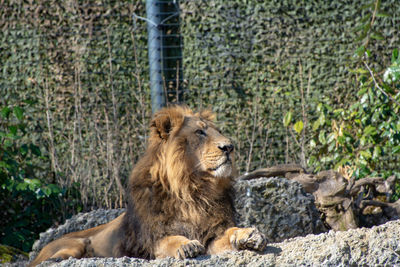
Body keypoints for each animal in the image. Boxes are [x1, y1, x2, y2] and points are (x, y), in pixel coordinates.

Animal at [29, 105, 268, 266]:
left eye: (217, 131)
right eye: (200, 132)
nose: (229, 147)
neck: (193, 190)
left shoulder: (212, 235)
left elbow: (229, 233)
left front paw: (249, 234)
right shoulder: (149, 242)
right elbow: (168, 241)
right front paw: (185, 245)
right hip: (76, 243)